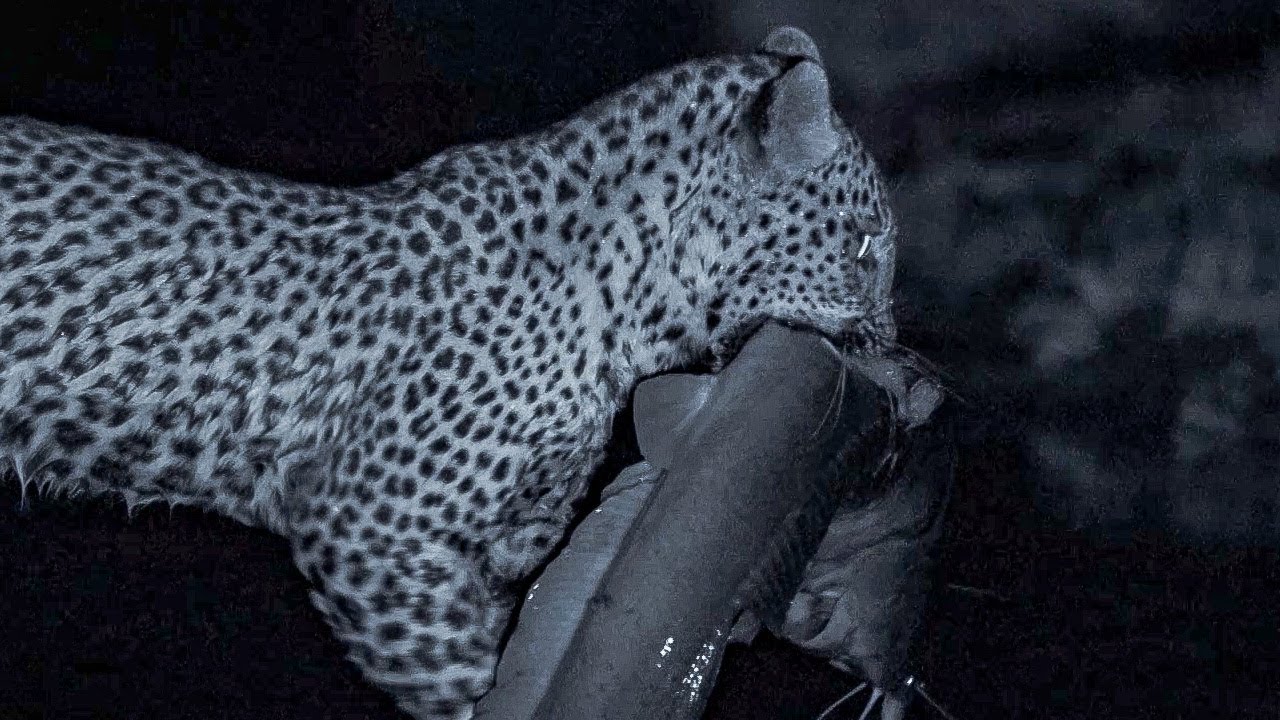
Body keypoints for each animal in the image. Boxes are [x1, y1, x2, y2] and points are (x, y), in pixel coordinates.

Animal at [0, 26, 899, 720]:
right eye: (864, 249)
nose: (896, 350)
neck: (626, 305)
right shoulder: (365, 527)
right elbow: (457, 675)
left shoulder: (509, 537)